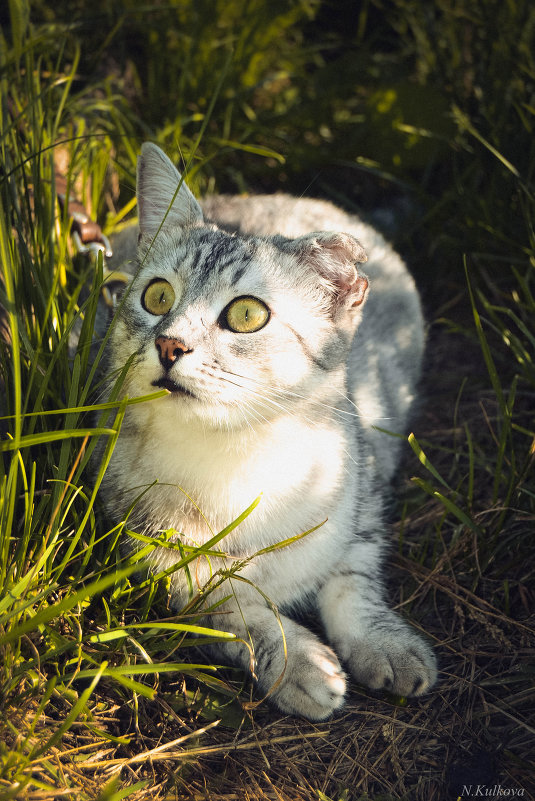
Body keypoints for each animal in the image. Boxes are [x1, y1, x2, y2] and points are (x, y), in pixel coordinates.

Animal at [98, 142, 438, 720]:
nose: (169, 344)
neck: (237, 457)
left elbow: (354, 578)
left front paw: (384, 642)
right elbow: (234, 607)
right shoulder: (149, 557)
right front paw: (298, 661)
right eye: (158, 297)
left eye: (247, 314)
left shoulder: (364, 490)